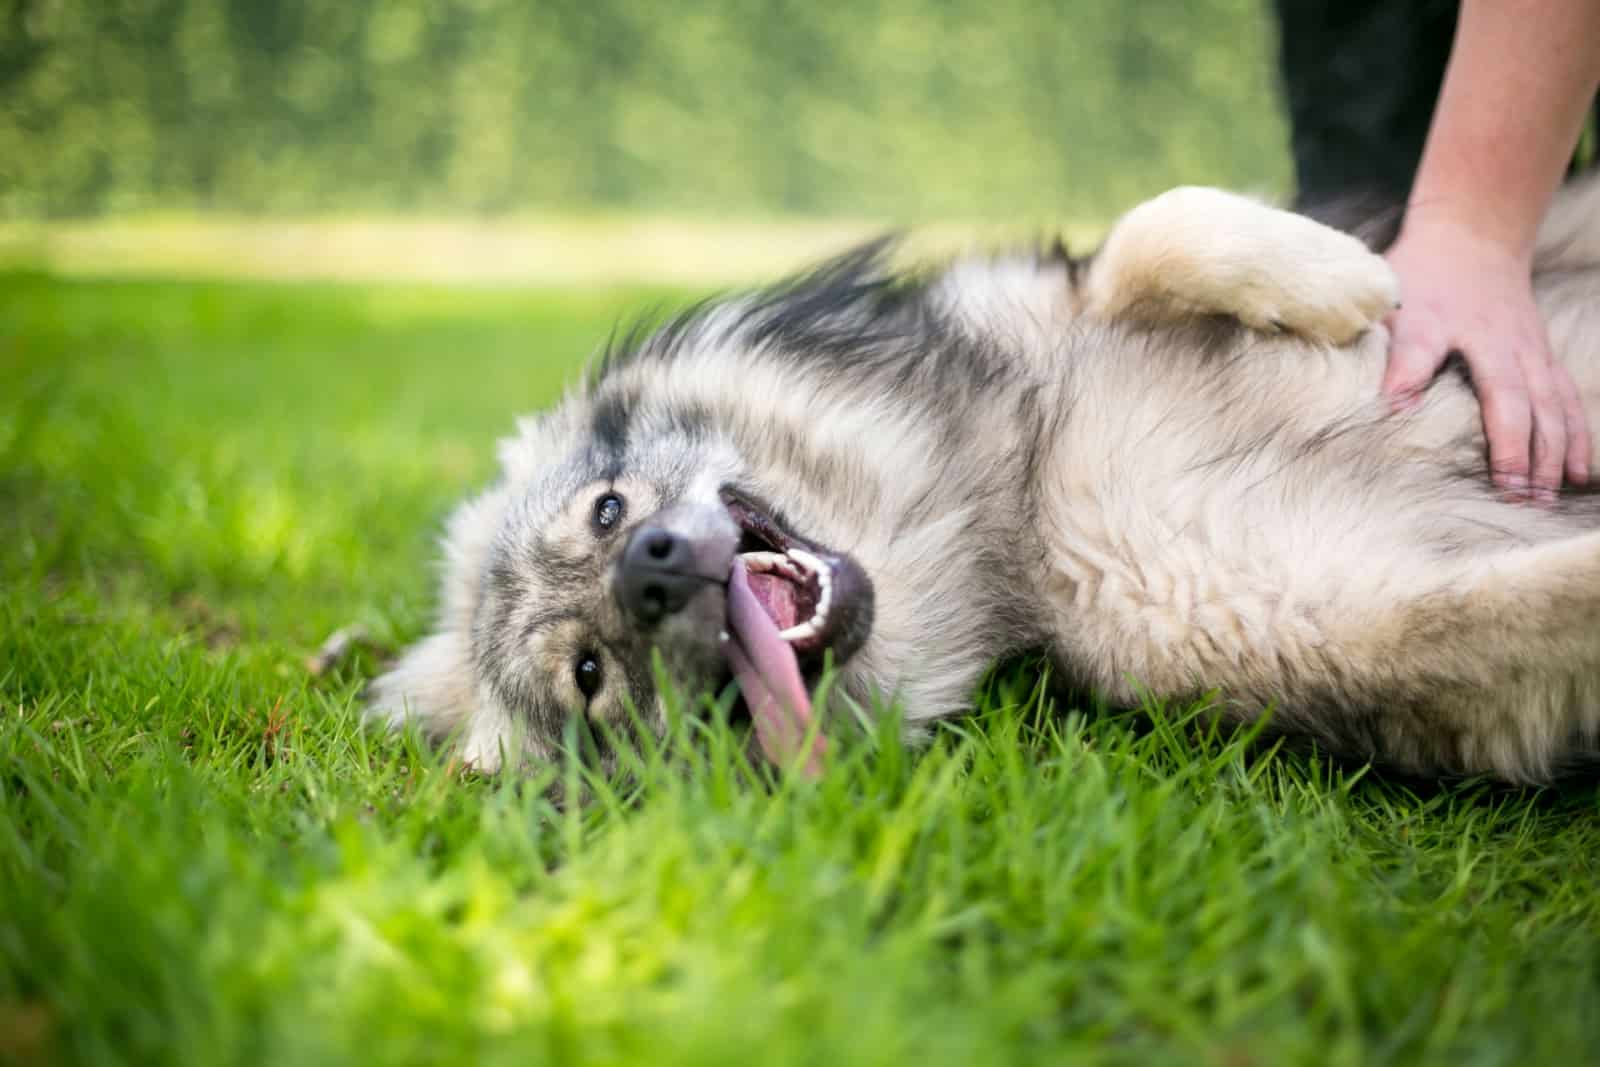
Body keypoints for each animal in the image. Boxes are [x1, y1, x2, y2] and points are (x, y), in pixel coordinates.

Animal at [368, 183, 1600, 783]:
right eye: (589, 674)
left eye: (609, 509)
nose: (652, 568)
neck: (1011, 494)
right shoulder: (1338, 609)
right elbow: (1536, 603)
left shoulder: (1060, 306)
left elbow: (1154, 230)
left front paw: (1341, 279)